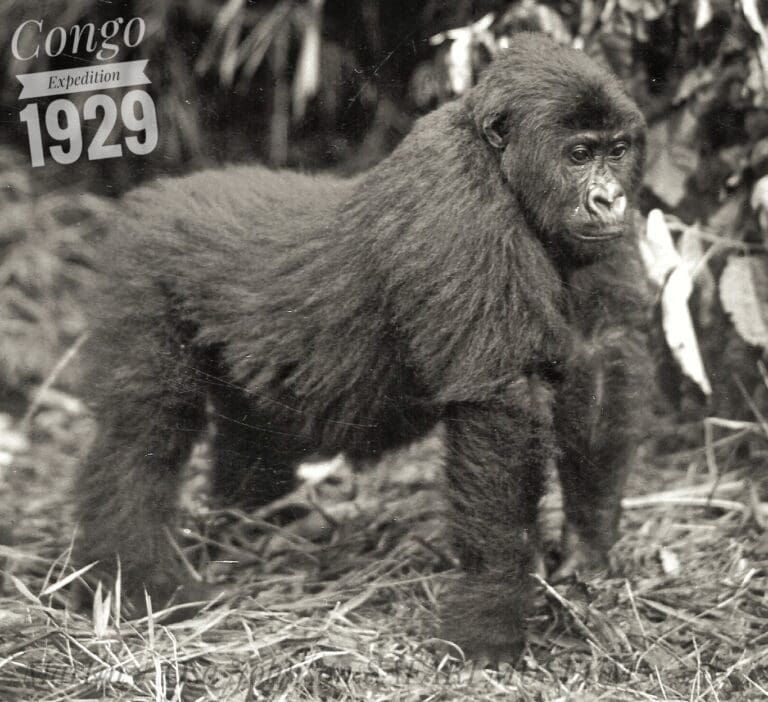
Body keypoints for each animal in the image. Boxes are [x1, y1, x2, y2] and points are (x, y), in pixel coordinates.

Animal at [74, 32, 653, 662]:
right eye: (578, 155)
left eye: (617, 151)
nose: (610, 200)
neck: (501, 164)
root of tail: (149, 198)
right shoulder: (459, 195)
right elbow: (501, 404)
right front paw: (491, 610)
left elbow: (600, 357)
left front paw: (587, 546)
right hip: (141, 271)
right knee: (144, 433)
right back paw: (135, 577)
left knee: (245, 426)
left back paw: (260, 526)